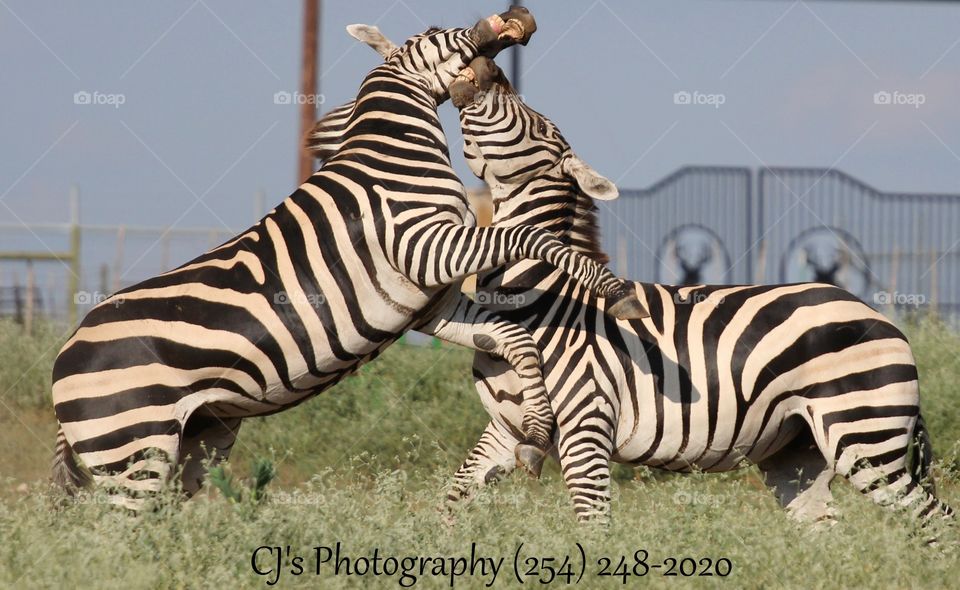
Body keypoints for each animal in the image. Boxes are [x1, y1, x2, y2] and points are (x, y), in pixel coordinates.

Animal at [50, 10, 649, 509]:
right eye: (438, 31)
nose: (515, 21)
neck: (390, 154)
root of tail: (64, 356)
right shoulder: (426, 245)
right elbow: (531, 240)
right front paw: (619, 296)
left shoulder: (432, 300)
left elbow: (513, 336)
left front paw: (536, 427)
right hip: (135, 447)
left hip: (194, 438)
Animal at [440, 56, 954, 525]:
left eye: (541, 124)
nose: (487, 67)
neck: (540, 294)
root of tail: (884, 320)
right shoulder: (507, 426)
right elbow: (455, 495)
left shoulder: (586, 421)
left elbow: (592, 519)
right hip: (800, 449)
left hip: (864, 432)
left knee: (934, 516)